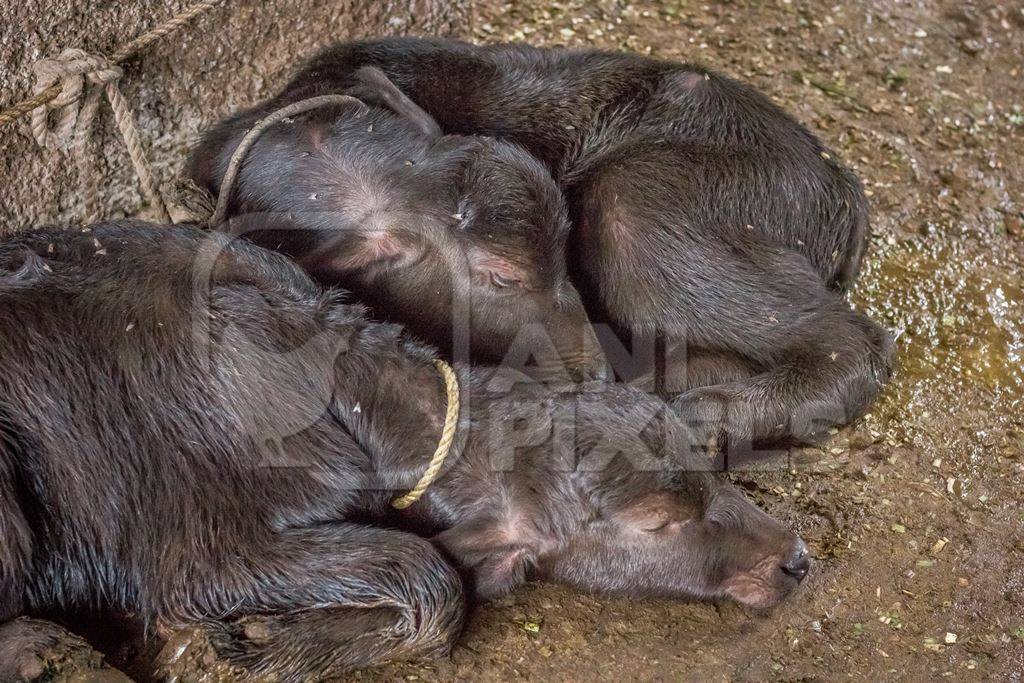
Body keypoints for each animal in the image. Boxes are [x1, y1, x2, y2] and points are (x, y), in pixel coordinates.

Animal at [4, 223, 811, 679]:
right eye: (655, 520)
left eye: (705, 459)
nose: (796, 559)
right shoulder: (201, 551)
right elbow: (436, 578)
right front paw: (260, 643)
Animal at [193, 40, 897, 450]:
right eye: (502, 277)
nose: (593, 370)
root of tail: (839, 186)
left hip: (649, 207)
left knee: (850, 344)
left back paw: (707, 415)